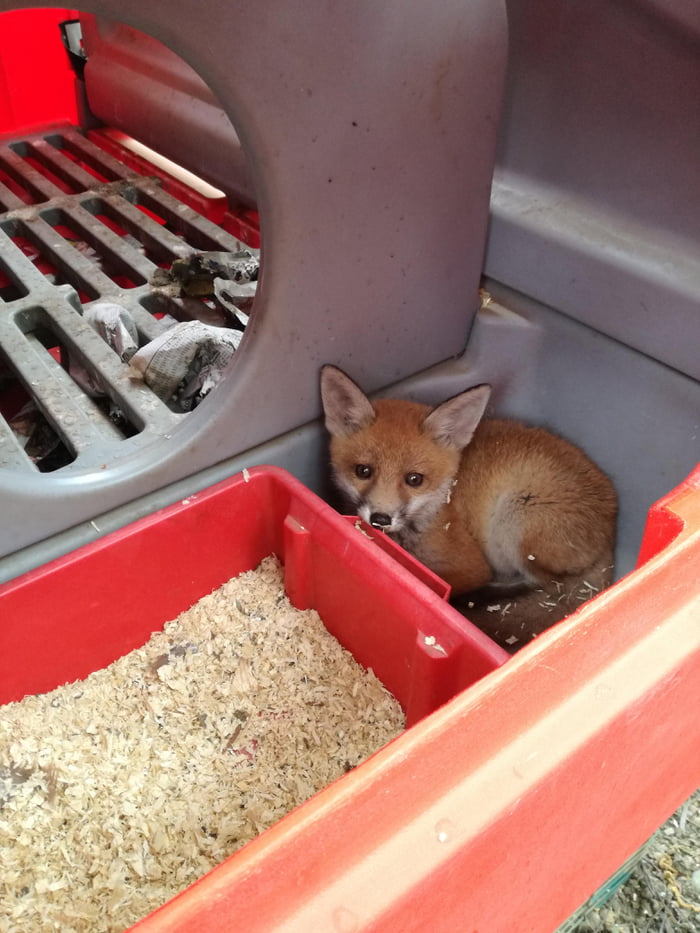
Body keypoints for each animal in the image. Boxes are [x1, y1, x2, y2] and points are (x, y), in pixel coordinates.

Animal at [320, 365, 618, 644]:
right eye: (363, 471)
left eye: (414, 479)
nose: (380, 518)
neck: (437, 506)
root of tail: (611, 534)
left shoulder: (470, 567)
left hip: (513, 519)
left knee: (542, 584)